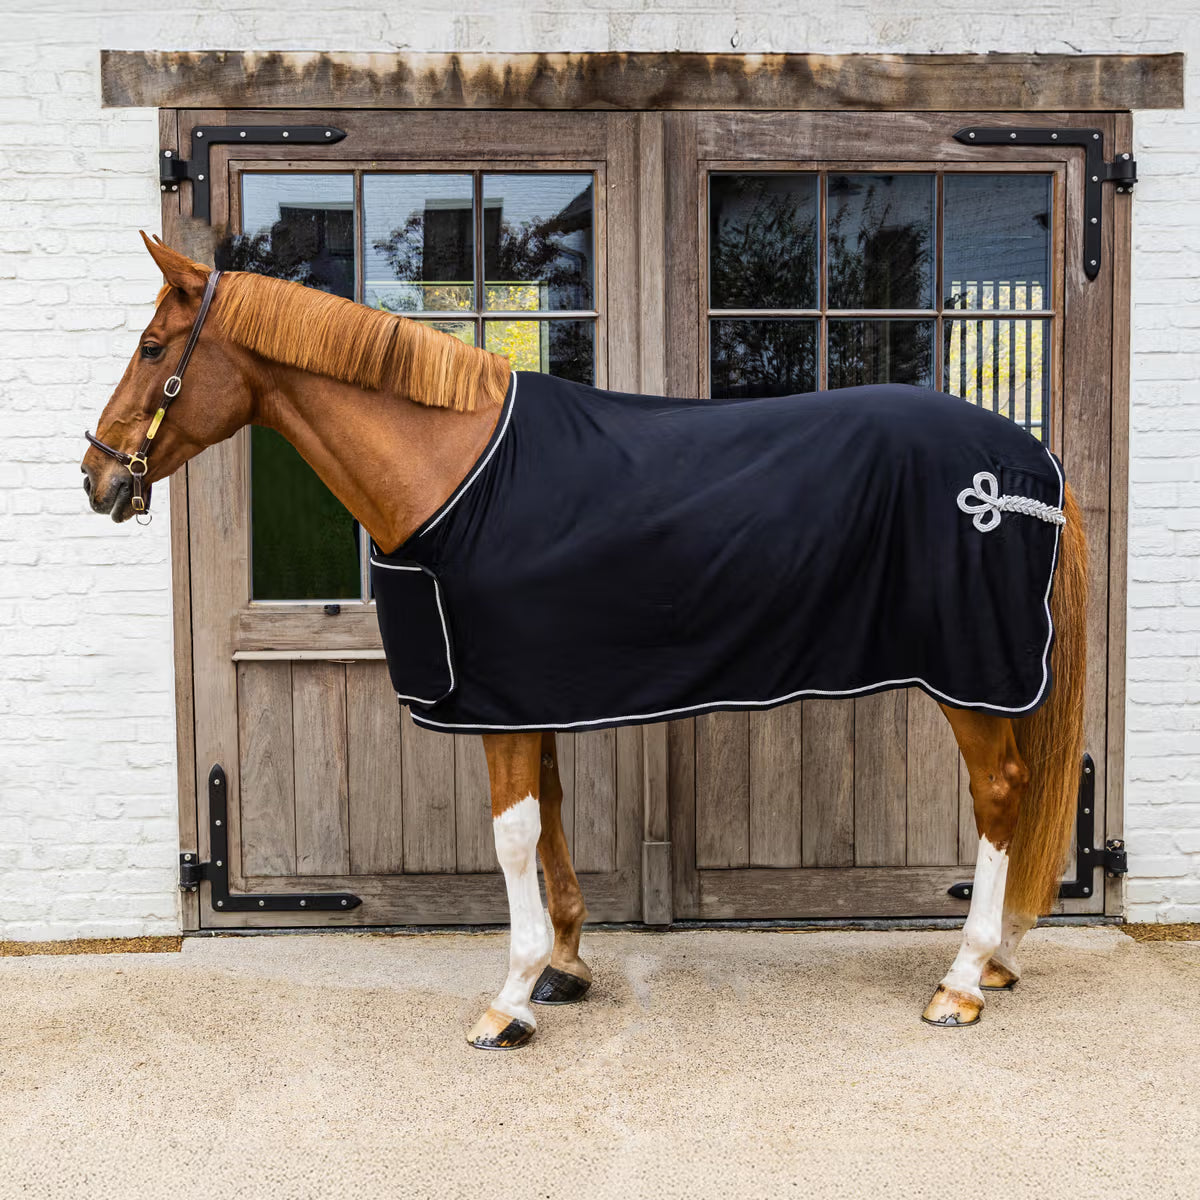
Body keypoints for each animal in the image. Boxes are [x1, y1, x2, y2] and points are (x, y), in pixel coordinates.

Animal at [81, 234, 1087, 1048]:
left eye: (152, 348)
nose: (97, 476)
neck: (459, 473)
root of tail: (1031, 462)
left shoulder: (498, 702)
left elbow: (513, 836)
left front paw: (510, 998)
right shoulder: (527, 692)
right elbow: (555, 816)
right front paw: (564, 967)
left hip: (970, 675)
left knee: (1001, 792)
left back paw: (964, 978)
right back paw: (999, 959)